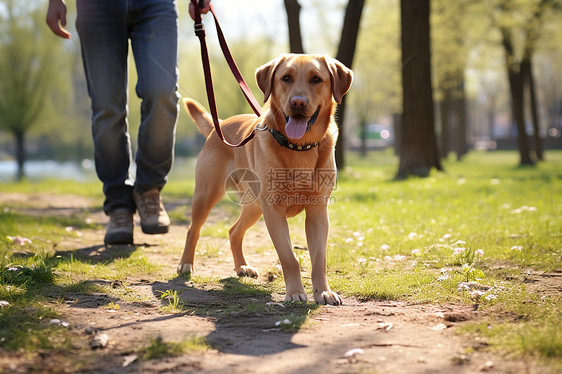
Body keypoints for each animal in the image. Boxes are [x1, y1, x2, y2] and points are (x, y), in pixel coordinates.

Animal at [177, 53, 350, 304]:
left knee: (234, 231)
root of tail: (220, 124)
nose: (298, 103)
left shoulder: (318, 212)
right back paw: (185, 264)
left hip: (254, 207)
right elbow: (289, 257)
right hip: (207, 195)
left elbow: (319, 259)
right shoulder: (274, 211)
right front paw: (295, 292)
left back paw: (242, 266)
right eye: (286, 77)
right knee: (193, 228)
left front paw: (323, 292)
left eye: (316, 79)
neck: (299, 147)